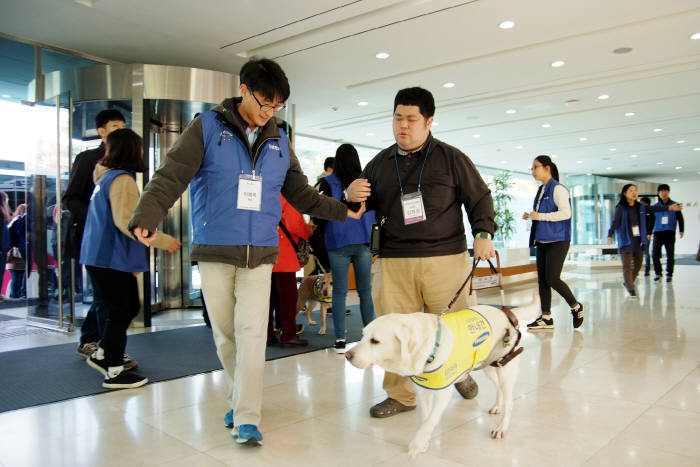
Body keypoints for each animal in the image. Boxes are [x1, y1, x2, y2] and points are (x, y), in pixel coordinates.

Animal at [346, 298, 540, 458]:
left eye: (375, 341)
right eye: (362, 336)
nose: (347, 355)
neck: (430, 348)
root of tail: (505, 313)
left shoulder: (443, 391)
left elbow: (431, 419)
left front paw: (417, 444)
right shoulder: (423, 390)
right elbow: (425, 417)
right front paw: (424, 441)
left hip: (505, 368)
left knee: (510, 401)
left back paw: (502, 428)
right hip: (489, 366)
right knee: (498, 388)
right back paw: (497, 406)